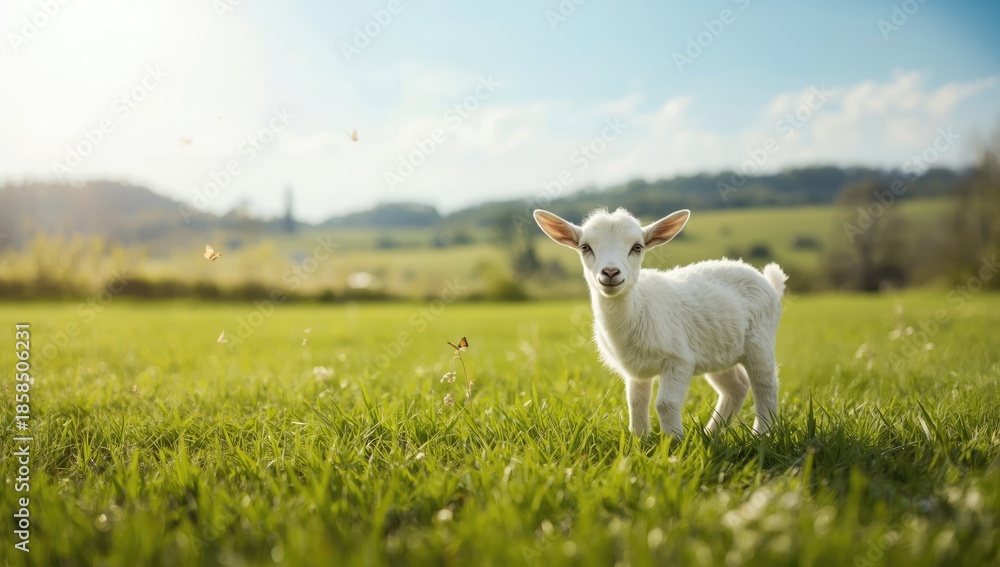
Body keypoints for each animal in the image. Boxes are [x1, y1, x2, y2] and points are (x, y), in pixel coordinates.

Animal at [533, 207, 787, 438]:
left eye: (637, 247)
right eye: (585, 247)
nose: (610, 272)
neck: (637, 309)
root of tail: (769, 282)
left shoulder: (680, 360)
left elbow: (665, 403)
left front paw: (674, 444)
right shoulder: (636, 369)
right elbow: (636, 403)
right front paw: (640, 442)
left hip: (760, 340)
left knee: (765, 384)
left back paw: (761, 434)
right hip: (718, 349)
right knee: (736, 387)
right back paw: (711, 434)